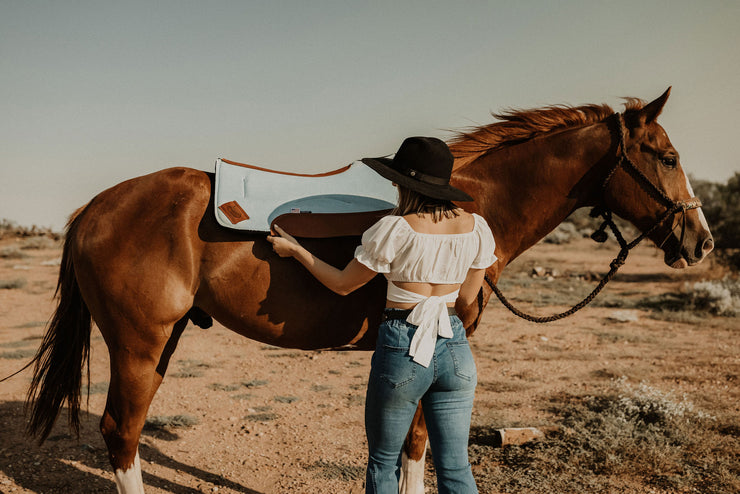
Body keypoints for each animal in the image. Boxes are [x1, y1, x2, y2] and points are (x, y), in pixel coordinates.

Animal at [24, 87, 712, 492]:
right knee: (121, 432)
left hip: (160, 344)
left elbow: (413, 443)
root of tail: (95, 207)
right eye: (666, 157)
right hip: (138, 345)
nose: (701, 240)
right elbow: (417, 444)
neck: (465, 202)